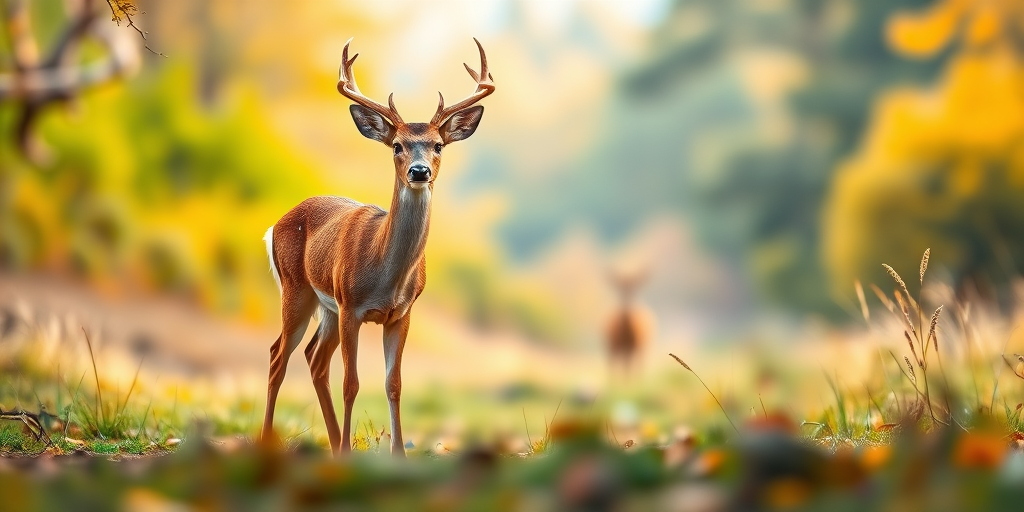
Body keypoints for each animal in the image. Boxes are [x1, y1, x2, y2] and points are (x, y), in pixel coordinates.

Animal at [260, 38, 494, 457]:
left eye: (438, 145)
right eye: (397, 145)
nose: (420, 171)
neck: (386, 275)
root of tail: (276, 224)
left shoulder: (401, 313)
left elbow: (393, 384)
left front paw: (397, 455)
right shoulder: (351, 305)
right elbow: (351, 383)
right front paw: (351, 451)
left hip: (326, 306)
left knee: (314, 360)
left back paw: (334, 443)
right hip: (298, 290)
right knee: (277, 356)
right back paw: (272, 441)